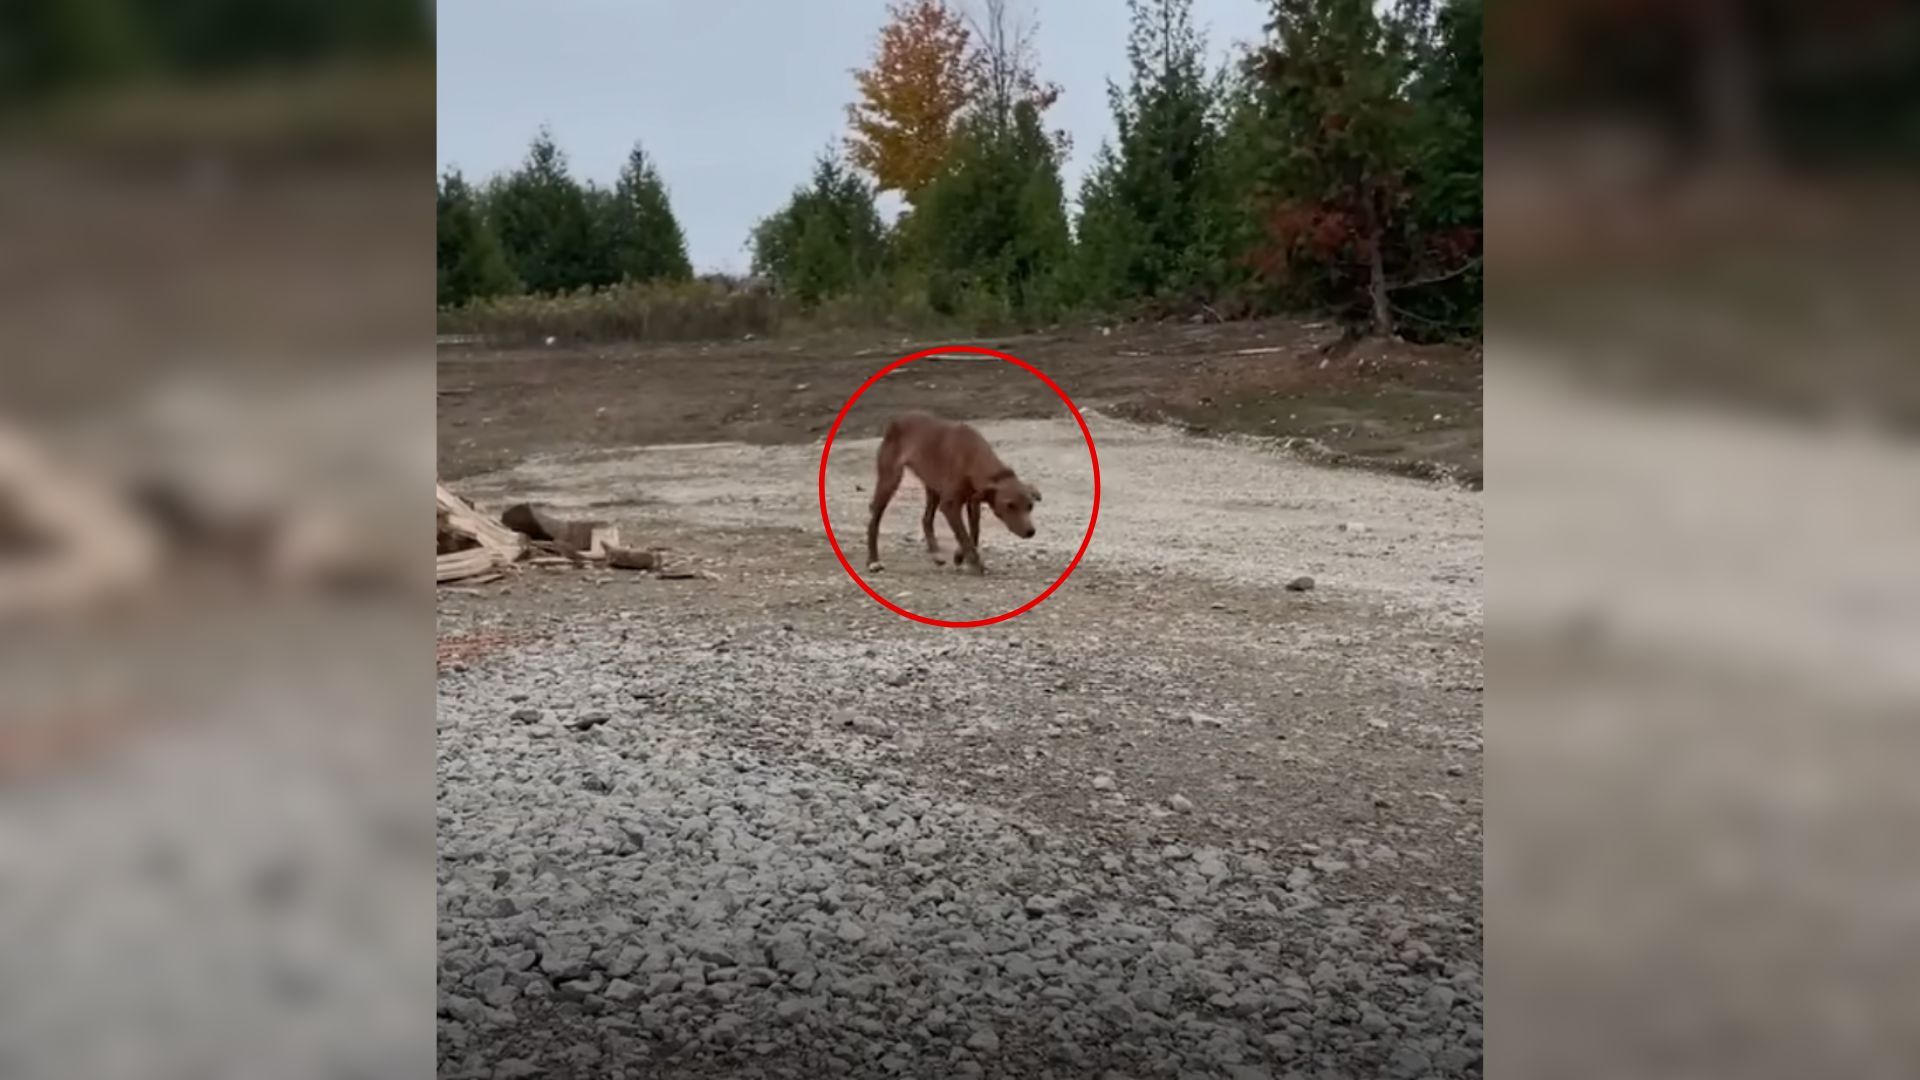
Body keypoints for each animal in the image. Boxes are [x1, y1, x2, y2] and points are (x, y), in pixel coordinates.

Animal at [867, 407, 1044, 572]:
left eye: (1030, 506)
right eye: (1010, 505)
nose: (1031, 532)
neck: (973, 457)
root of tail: (897, 418)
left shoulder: (973, 501)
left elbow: (974, 531)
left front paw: (960, 555)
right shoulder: (950, 505)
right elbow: (963, 534)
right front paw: (975, 562)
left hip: (933, 487)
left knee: (926, 519)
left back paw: (936, 554)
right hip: (890, 481)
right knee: (874, 521)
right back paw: (873, 561)